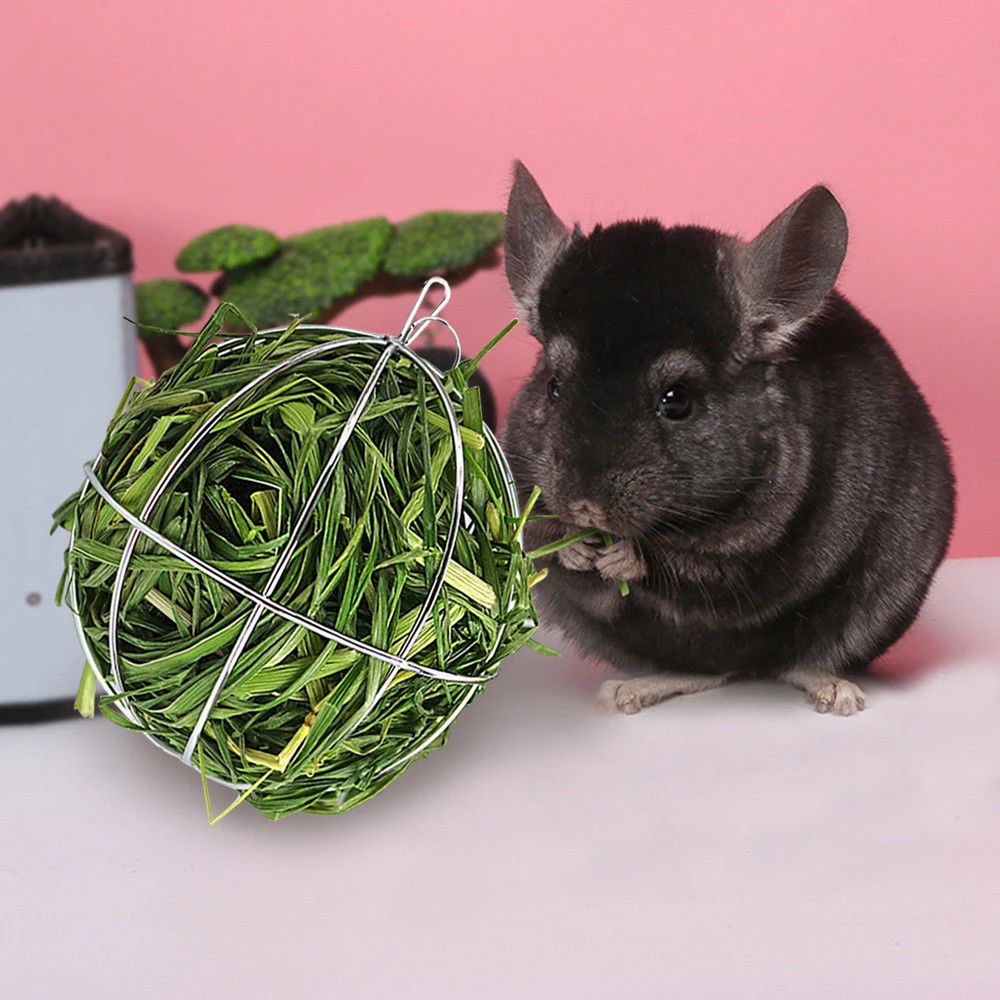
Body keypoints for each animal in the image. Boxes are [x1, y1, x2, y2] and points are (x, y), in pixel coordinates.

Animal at [500, 161, 955, 715]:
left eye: (677, 399)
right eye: (554, 385)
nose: (585, 508)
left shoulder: (754, 549)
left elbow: (704, 573)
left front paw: (623, 556)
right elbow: (543, 547)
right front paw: (574, 548)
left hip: (883, 600)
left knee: (788, 663)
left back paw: (836, 691)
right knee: (705, 673)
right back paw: (629, 690)